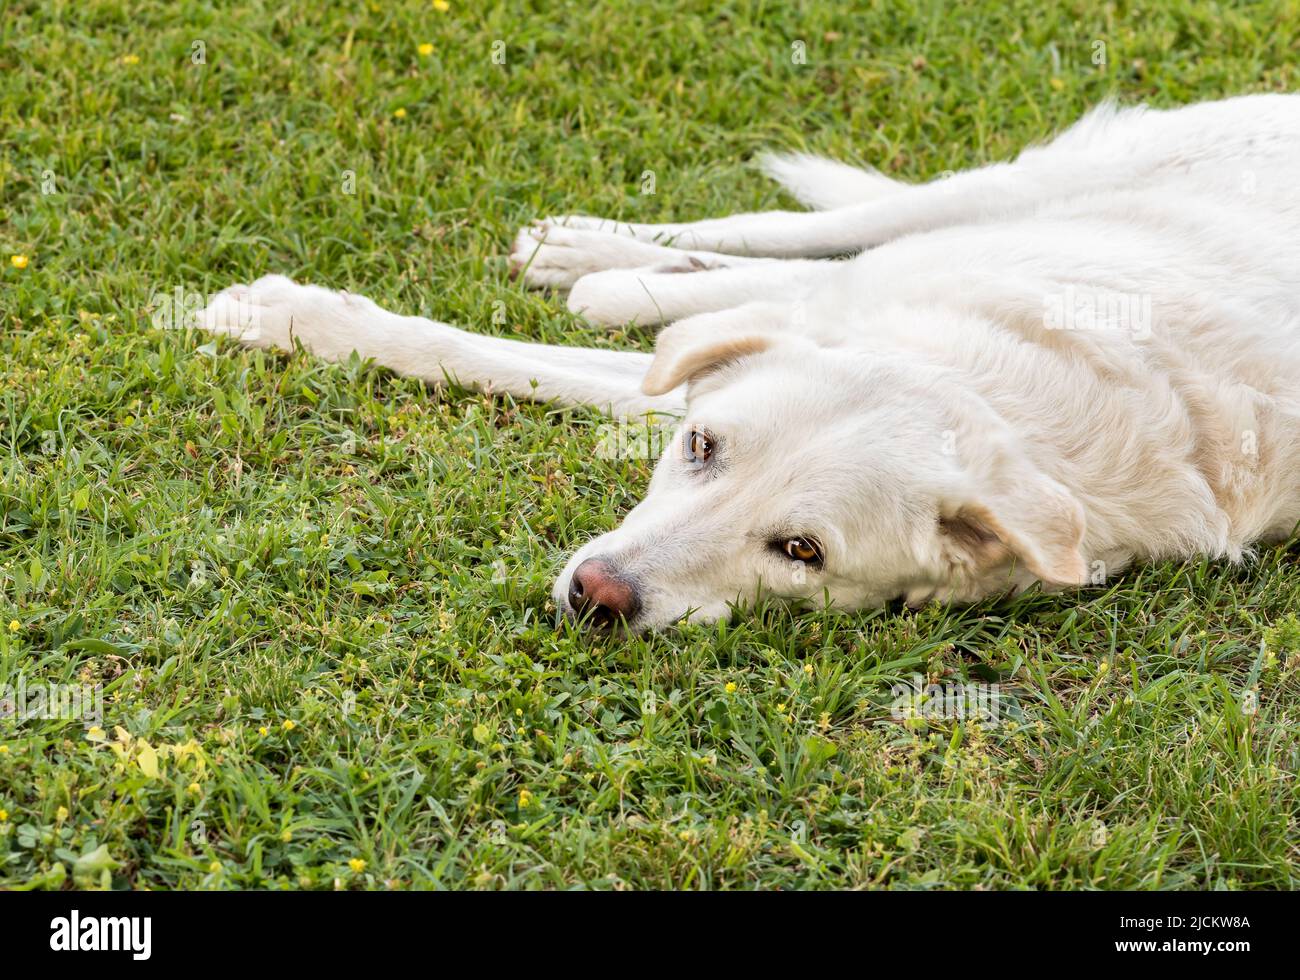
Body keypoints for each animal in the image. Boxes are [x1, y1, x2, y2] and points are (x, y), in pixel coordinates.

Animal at [197, 91, 1300, 626]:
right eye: (701, 450)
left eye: (799, 551)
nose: (597, 595)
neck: (999, 387)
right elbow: (468, 345)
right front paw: (285, 316)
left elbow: (524, 360)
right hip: (1015, 193)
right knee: (806, 236)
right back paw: (590, 255)